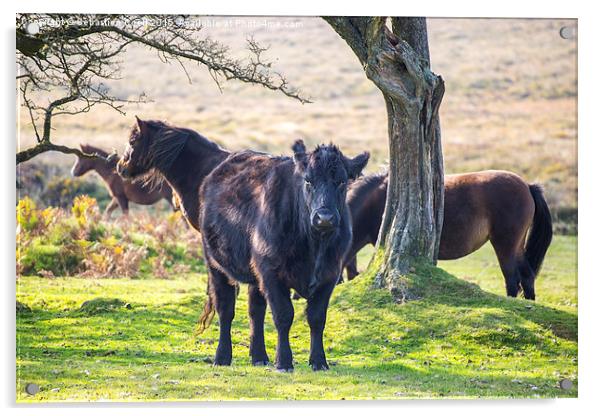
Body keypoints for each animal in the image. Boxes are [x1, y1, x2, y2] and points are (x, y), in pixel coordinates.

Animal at [340, 171, 552, 300]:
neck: (376, 202)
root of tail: (527, 186)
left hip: (505, 245)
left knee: (512, 279)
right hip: (516, 247)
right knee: (527, 276)